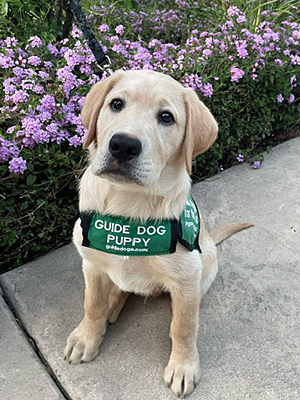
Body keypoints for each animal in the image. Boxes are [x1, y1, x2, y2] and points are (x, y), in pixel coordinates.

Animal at [65, 70, 251, 398]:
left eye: (166, 117)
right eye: (116, 104)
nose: (123, 144)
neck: (128, 204)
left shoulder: (186, 276)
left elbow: (183, 327)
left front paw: (183, 365)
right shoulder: (91, 264)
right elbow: (92, 303)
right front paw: (87, 336)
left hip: (206, 263)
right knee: (118, 289)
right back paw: (113, 304)